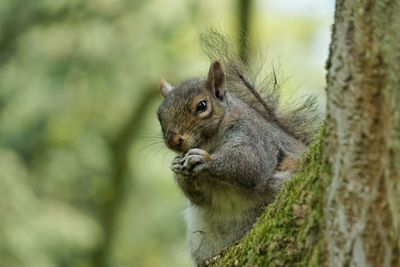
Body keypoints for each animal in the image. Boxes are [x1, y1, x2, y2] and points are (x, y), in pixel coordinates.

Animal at [157, 34, 322, 266]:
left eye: (202, 106)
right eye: (159, 116)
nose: (173, 141)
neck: (210, 142)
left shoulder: (254, 138)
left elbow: (250, 164)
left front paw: (205, 160)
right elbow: (198, 198)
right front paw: (177, 168)